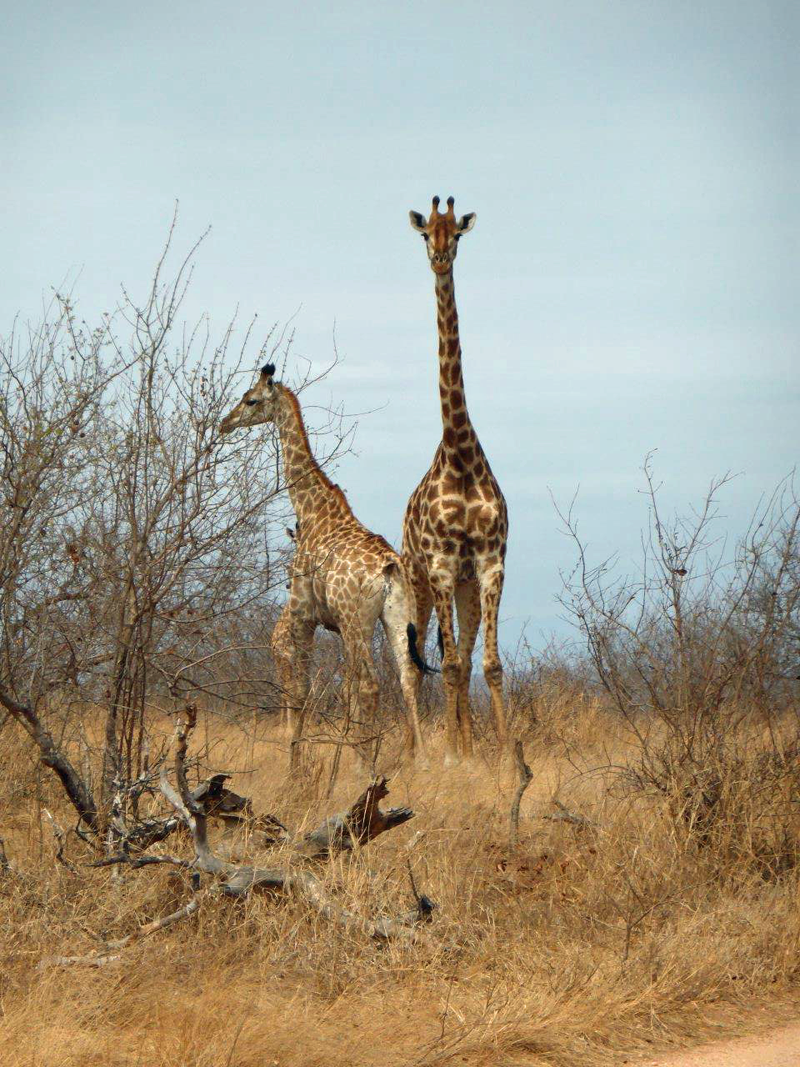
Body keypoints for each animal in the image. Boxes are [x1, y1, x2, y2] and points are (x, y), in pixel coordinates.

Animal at [222, 364, 430, 768]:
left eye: (250, 399)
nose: (225, 422)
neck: (311, 510)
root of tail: (390, 569)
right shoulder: (329, 624)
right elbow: (339, 687)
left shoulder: (304, 613)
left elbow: (302, 689)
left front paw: (296, 760)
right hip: (396, 617)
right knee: (408, 677)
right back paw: (419, 760)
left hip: (356, 620)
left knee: (370, 683)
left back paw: (362, 763)